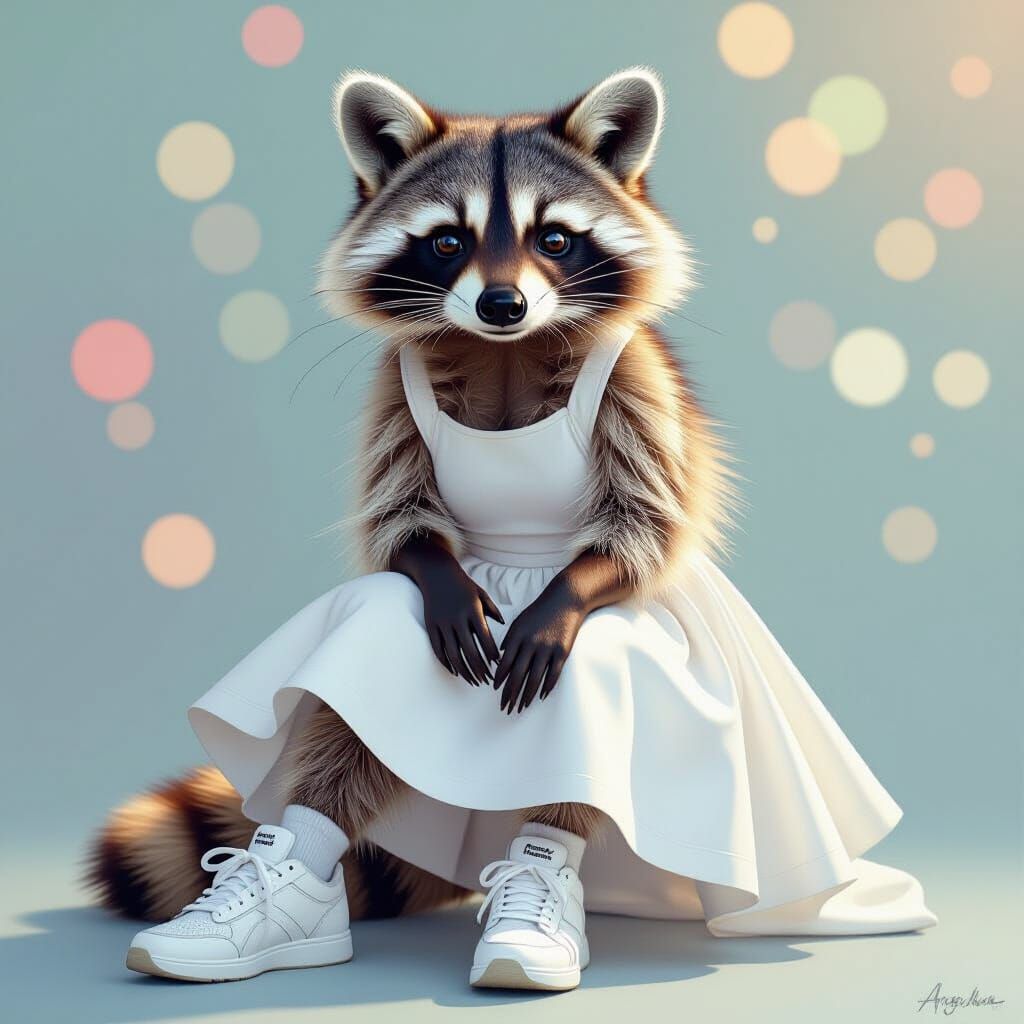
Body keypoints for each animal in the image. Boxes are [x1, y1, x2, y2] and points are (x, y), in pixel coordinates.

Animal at [87, 67, 733, 923]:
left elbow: (646, 519)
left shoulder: (636, 380)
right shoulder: (396, 384)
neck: (505, 349)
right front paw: (439, 575)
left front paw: (562, 596)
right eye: (448, 241)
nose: (502, 305)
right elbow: (400, 519)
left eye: (554, 239)